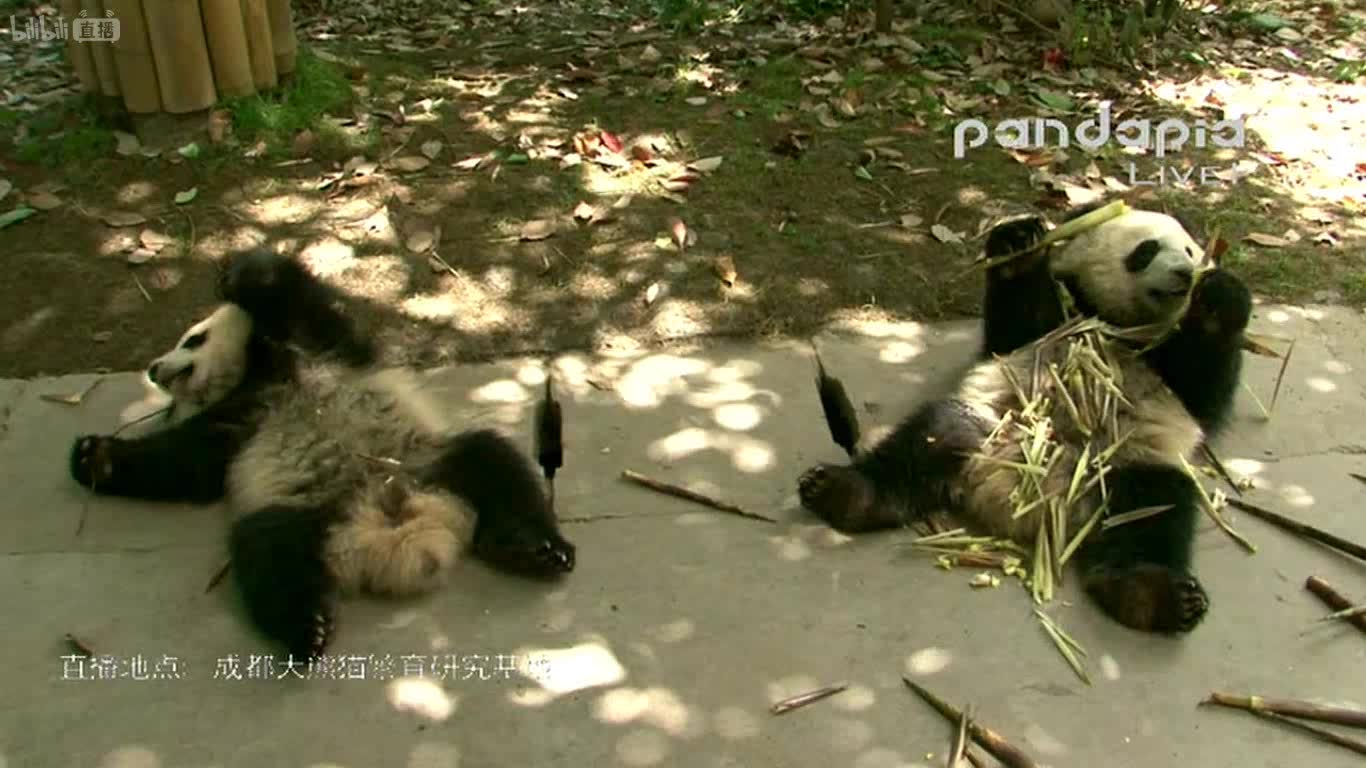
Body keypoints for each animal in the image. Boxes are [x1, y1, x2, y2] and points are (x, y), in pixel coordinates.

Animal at [72, 248, 573, 655]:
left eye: (193, 339)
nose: (154, 369)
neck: (259, 376)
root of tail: (399, 537)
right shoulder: (237, 429)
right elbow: (185, 465)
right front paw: (94, 457)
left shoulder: (319, 347)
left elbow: (294, 300)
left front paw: (237, 273)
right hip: (307, 509)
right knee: (269, 552)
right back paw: (308, 628)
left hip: (424, 461)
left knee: (493, 463)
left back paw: (538, 549)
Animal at [803, 200, 1251, 631]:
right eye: (1147, 250)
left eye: (1191, 251)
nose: (1184, 274)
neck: (1122, 325)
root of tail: (1033, 508)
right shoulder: (1057, 322)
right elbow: (1016, 330)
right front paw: (1019, 242)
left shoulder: (1172, 379)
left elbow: (1202, 391)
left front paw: (1220, 296)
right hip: (989, 428)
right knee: (925, 441)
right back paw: (843, 492)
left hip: (1127, 462)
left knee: (1154, 511)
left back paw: (1155, 596)